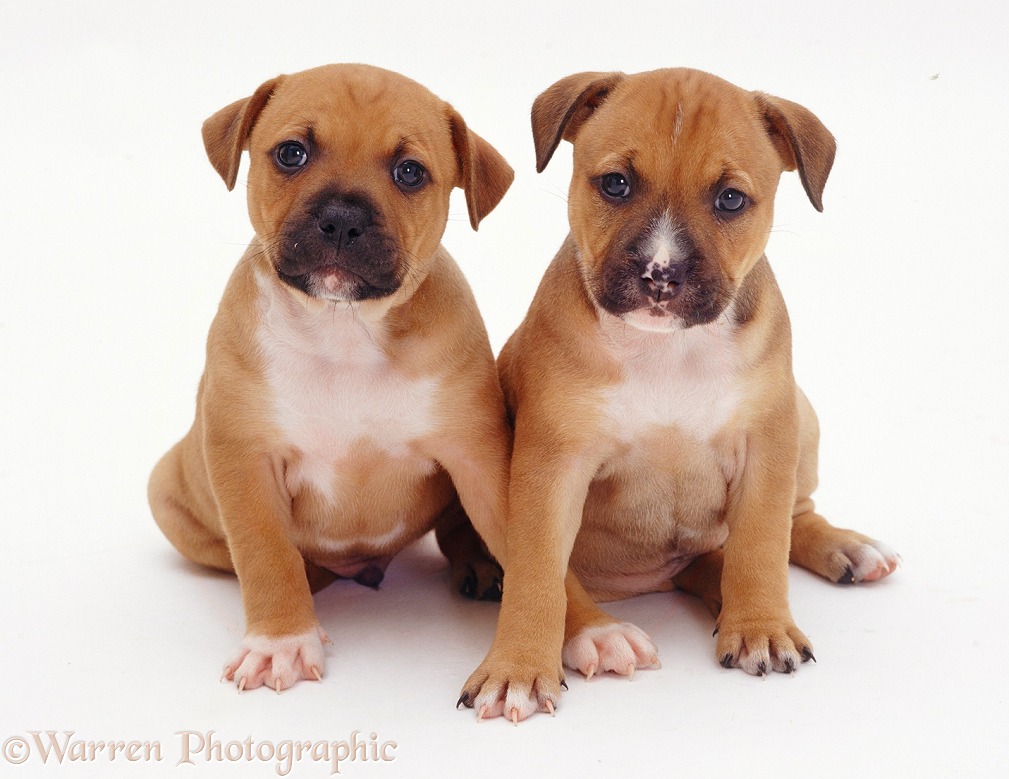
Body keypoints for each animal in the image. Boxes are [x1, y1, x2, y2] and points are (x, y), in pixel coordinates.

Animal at [147, 63, 520, 690]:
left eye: (409, 172)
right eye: (291, 153)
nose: (342, 218)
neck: (344, 331)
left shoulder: (476, 457)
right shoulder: (245, 460)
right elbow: (267, 554)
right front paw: (280, 641)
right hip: (167, 492)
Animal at [460, 67, 900, 722]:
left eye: (730, 200)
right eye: (615, 184)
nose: (659, 275)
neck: (668, 351)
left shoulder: (768, 441)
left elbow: (762, 544)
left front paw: (762, 627)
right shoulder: (552, 465)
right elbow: (538, 574)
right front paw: (517, 668)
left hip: (802, 415)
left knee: (785, 522)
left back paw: (844, 548)